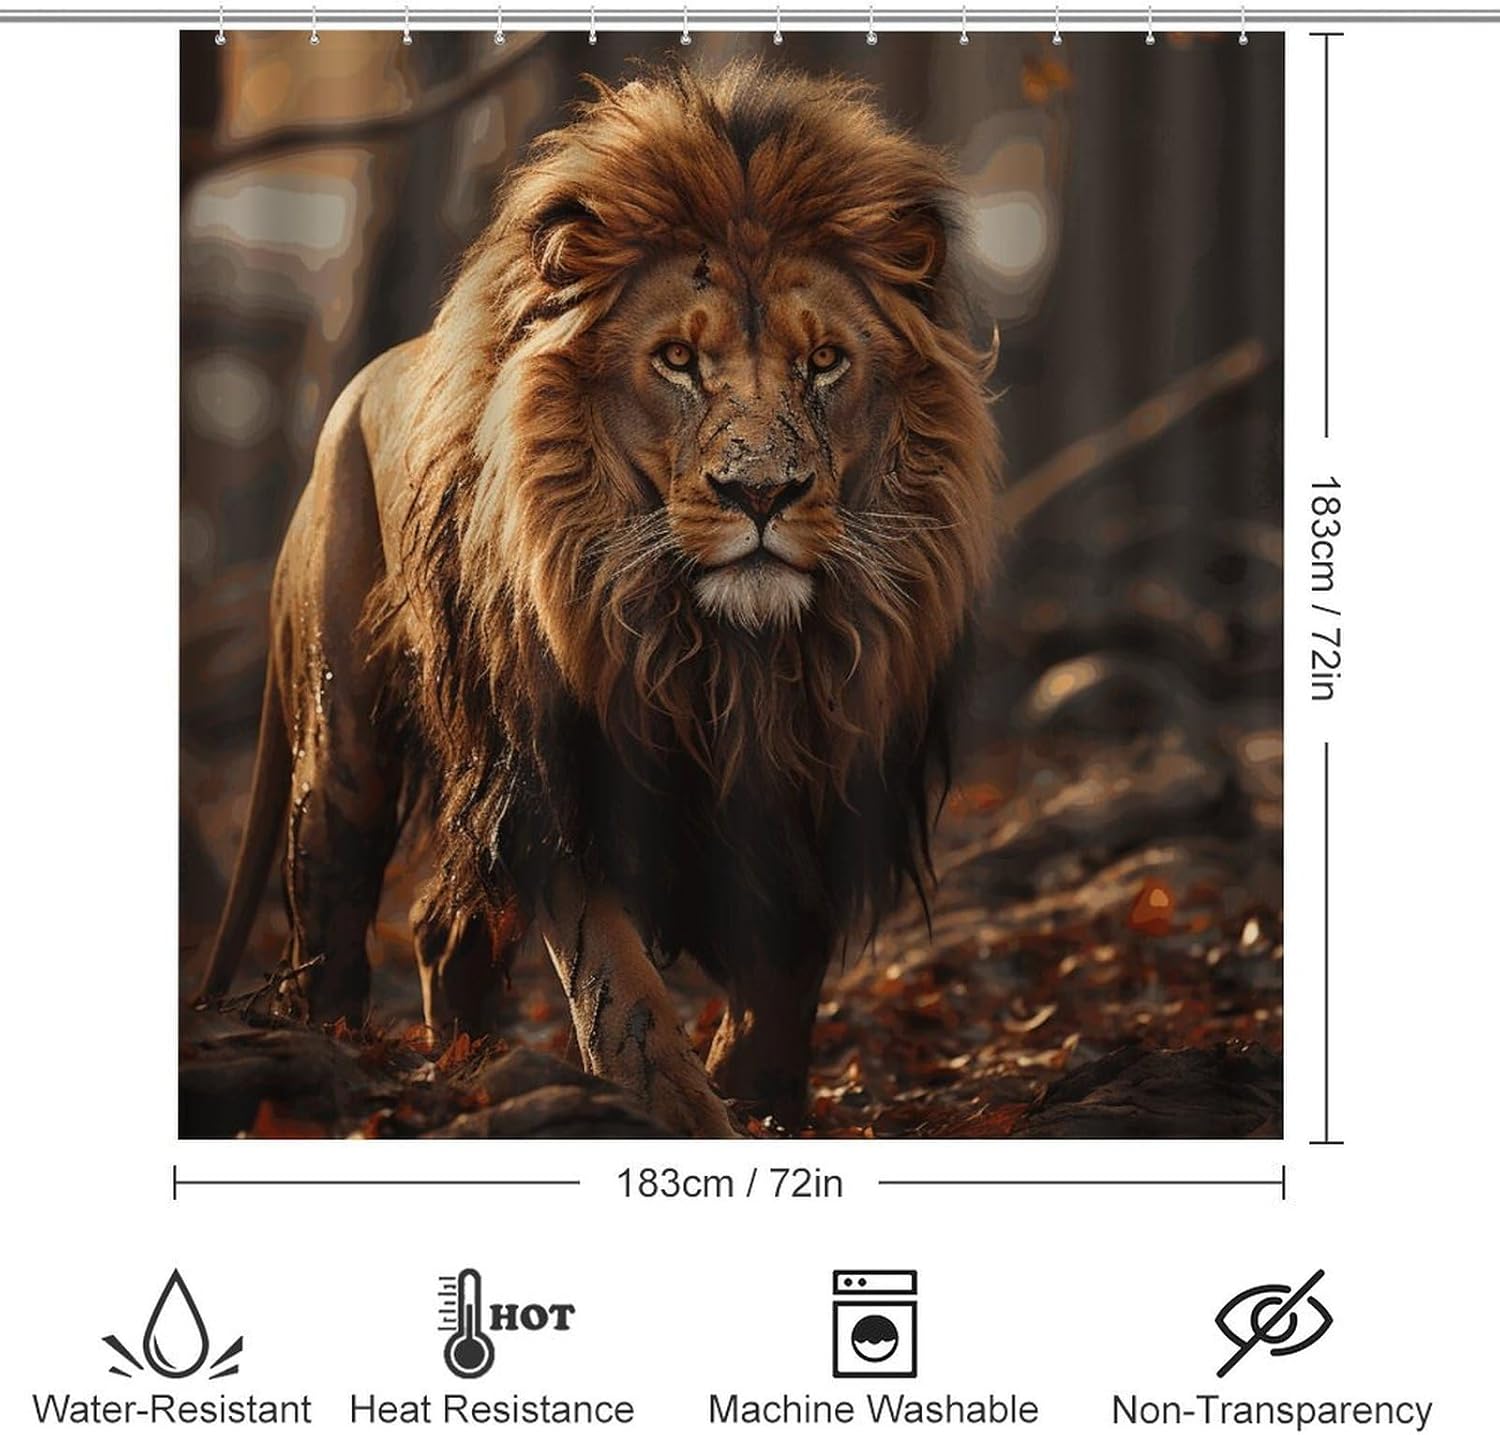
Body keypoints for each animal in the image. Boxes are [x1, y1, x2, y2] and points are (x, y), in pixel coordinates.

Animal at [196, 60, 1000, 1137]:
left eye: (824, 361)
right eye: (678, 360)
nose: (761, 493)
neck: (726, 656)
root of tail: (355, 391)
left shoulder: (818, 782)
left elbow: (785, 970)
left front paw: (764, 1101)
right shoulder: (560, 767)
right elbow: (621, 991)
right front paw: (679, 1110)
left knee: (442, 927)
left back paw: (470, 1064)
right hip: (345, 736)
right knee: (328, 909)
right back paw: (336, 1059)